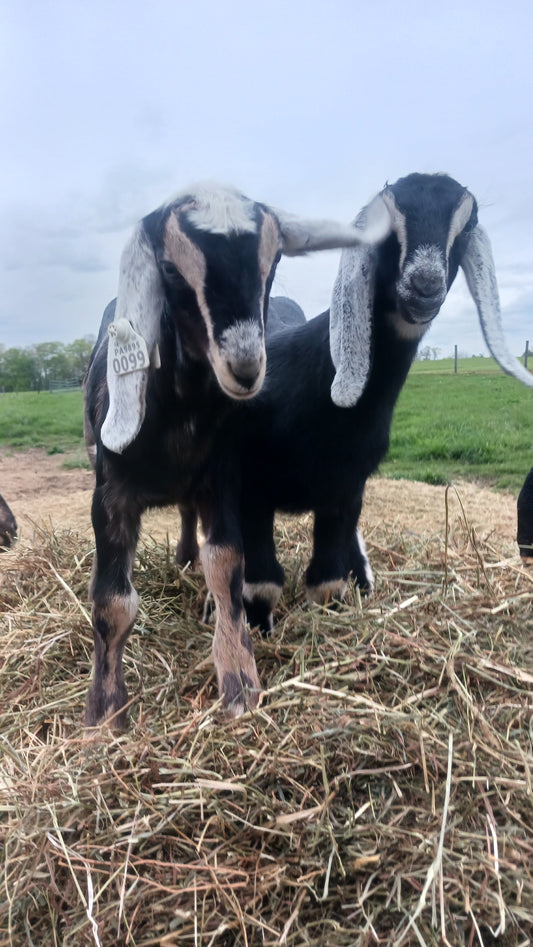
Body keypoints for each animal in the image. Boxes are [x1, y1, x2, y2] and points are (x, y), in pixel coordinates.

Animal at [83, 182, 389, 727]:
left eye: (274, 259)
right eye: (168, 269)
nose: (245, 367)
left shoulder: (222, 481)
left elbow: (227, 566)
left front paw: (240, 682)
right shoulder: (110, 493)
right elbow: (113, 602)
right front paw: (104, 712)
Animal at [234, 173, 533, 632]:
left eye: (465, 226)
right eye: (384, 229)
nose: (425, 286)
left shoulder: (346, 488)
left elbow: (327, 580)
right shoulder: (249, 485)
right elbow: (262, 582)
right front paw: (257, 631)